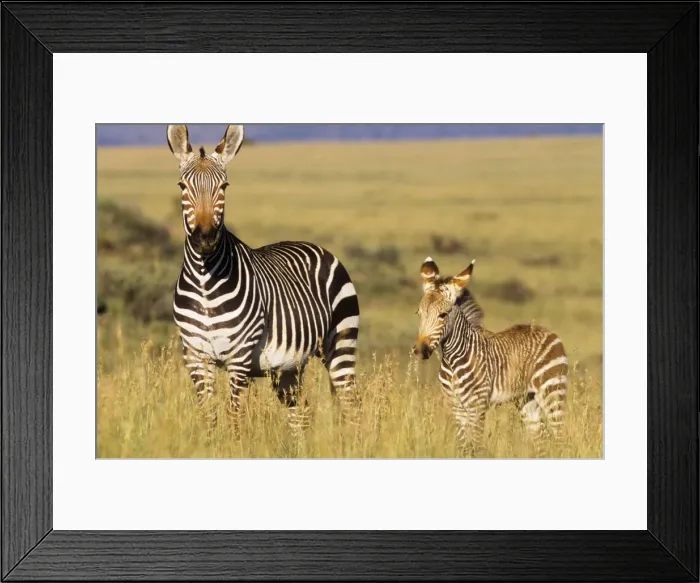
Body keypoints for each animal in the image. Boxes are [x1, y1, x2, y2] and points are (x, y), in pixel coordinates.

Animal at [167, 124, 361, 433]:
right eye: (182, 187)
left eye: (224, 187)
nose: (205, 238)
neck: (205, 282)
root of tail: (318, 247)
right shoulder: (196, 356)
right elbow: (209, 417)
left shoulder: (240, 357)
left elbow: (234, 418)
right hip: (289, 367)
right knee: (301, 414)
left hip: (341, 344)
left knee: (352, 405)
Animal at [412, 257, 568, 457]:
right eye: (419, 313)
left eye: (443, 315)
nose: (420, 350)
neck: (453, 360)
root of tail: (548, 331)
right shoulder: (456, 406)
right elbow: (464, 446)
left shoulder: (476, 406)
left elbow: (475, 446)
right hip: (527, 399)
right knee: (540, 438)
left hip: (552, 391)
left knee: (559, 438)